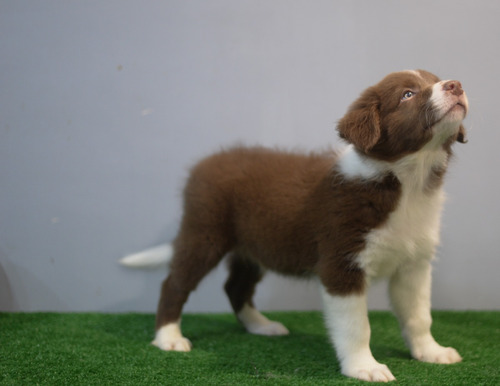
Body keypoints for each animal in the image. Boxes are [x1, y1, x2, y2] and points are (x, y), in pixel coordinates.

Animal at [122, 70, 468, 382]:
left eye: (433, 78)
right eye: (408, 94)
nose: (456, 85)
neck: (407, 183)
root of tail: (202, 165)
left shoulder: (413, 265)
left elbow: (419, 315)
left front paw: (430, 352)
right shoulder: (341, 263)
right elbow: (357, 326)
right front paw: (364, 367)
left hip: (254, 245)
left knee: (235, 286)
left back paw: (261, 326)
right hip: (204, 233)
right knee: (174, 283)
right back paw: (169, 338)